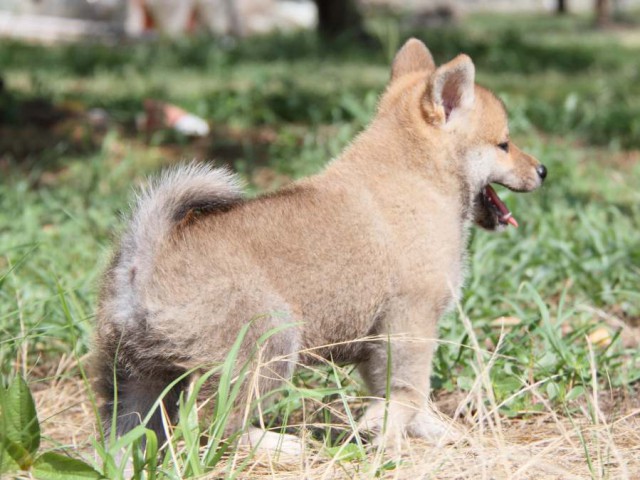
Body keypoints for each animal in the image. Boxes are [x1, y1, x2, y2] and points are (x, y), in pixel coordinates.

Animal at [92, 38, 548, 454]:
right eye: (504, 144)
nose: (543, 169)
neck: (418, 178)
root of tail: (146, 257)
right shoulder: (411, 320)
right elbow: (410, 389)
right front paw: (388, 430)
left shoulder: (380, 340)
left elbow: (397, 393)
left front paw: (425, 429)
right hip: (270, 340)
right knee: (214, 424)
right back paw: (280, 445)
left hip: (136, 376)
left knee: (133, 429)